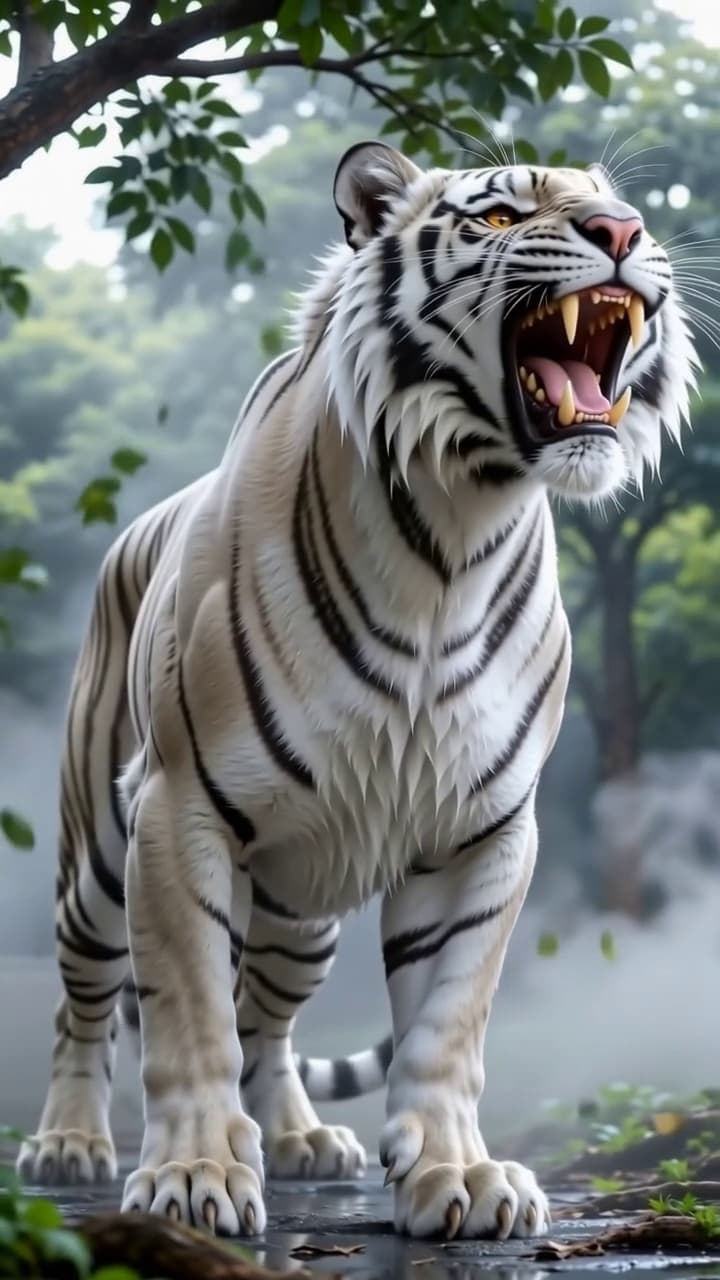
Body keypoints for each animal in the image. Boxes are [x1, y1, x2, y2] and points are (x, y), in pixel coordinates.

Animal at [18, 141, 696, 1240]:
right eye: (502, 212)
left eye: (616, 204)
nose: (625, 233)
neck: (459, 529)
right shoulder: (177, 808)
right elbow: (189, 1009)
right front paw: (194, 1176)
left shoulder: (483, 829)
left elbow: (447, 1019)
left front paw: (459, 1174)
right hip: (98, 866)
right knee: (86, 1004)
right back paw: (69, 1143)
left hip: (302, 908)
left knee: (269, 1018)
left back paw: (299, 1138)